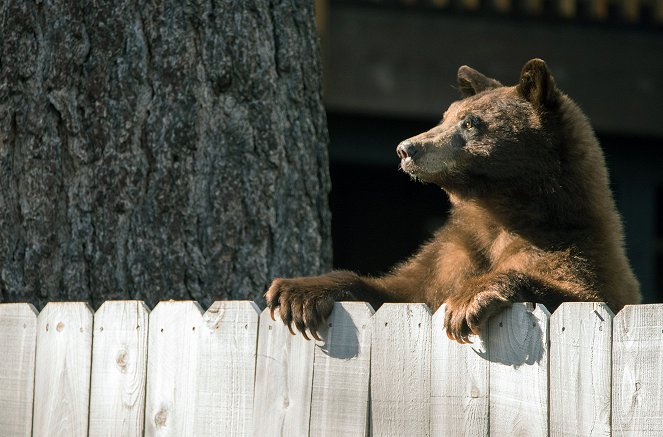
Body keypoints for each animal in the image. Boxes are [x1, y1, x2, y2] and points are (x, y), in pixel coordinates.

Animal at [266, 58, 644, 344]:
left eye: (471, 122)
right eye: (446, 116)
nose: (407, 148)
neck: (499, 212)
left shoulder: (571, 249)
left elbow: (575, 292)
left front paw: (467, 301)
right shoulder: (452, 251)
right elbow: (397, 289)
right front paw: (295, 293)